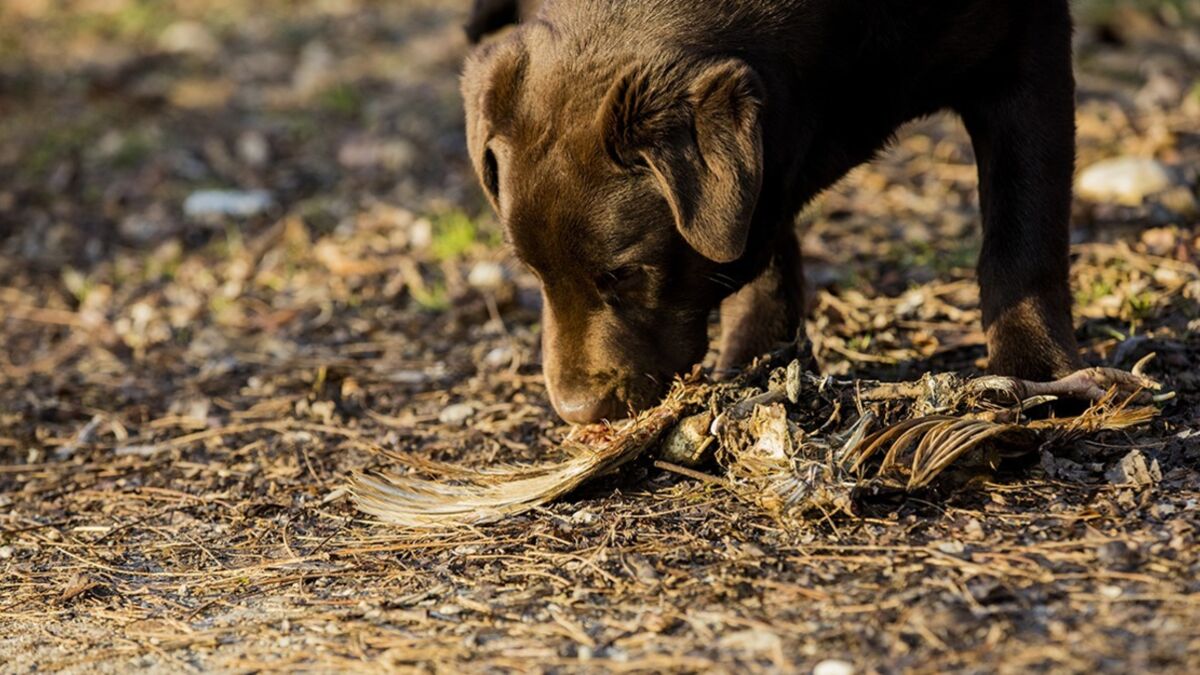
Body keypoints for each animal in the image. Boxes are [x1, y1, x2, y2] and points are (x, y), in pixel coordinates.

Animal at [458, 0, 1080, 420]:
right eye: (534, 273)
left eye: (625, 274)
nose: (577, 412)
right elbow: (763, 240)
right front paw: (759, 358)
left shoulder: (1029, 44)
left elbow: (1024, 225)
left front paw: (1034, 371)